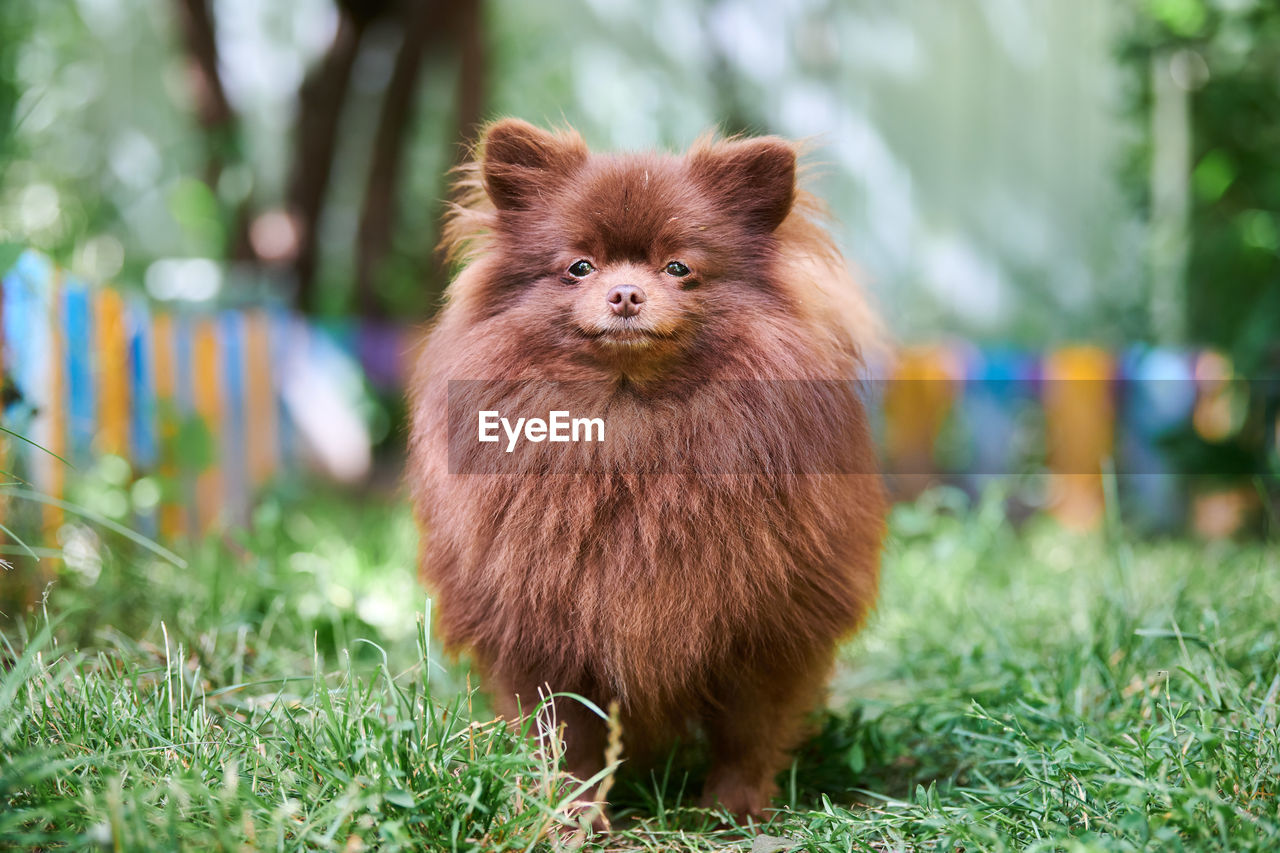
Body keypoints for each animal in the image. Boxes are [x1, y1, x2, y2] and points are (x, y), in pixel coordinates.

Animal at [404, 117, 885, 819]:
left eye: (678, 267)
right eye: (579, 267)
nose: (626, 292)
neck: (630, 423)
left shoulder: (766, 631)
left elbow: (748, 733)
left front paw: (733, 810)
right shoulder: (543, 630)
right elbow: (569, 737)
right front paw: (572, 817)